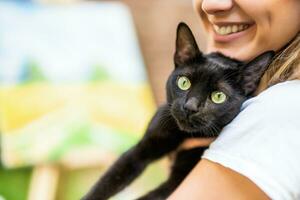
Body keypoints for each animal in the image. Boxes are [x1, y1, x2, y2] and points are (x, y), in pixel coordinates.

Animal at [82, 22, 274, 200]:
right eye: (184, 82)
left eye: (218, 96)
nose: (190, 107)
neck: (182, 136)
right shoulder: (143, 147)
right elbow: (110, 180)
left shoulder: (179, 179)